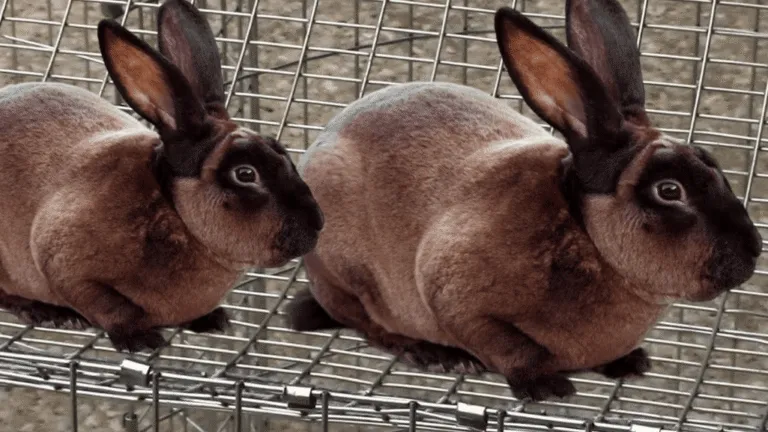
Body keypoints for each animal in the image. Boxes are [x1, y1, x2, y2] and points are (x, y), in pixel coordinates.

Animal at [0, 0, 323, 353]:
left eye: (281, 150)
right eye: (245, 174)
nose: (317, 223)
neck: (174, 210)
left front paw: (213, 320)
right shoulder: (66, 267)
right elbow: (106, 306)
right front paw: (140, 340)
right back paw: (47, 312)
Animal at [284, 0, 762, 402]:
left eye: (711, 163)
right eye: (669, 190)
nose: (753, 251)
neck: (584, 232)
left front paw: (629, 362)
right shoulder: (457, 300)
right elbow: (508, 347)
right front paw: (547, 387)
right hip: (343, 268)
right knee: (364, 319)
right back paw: (433, 354)